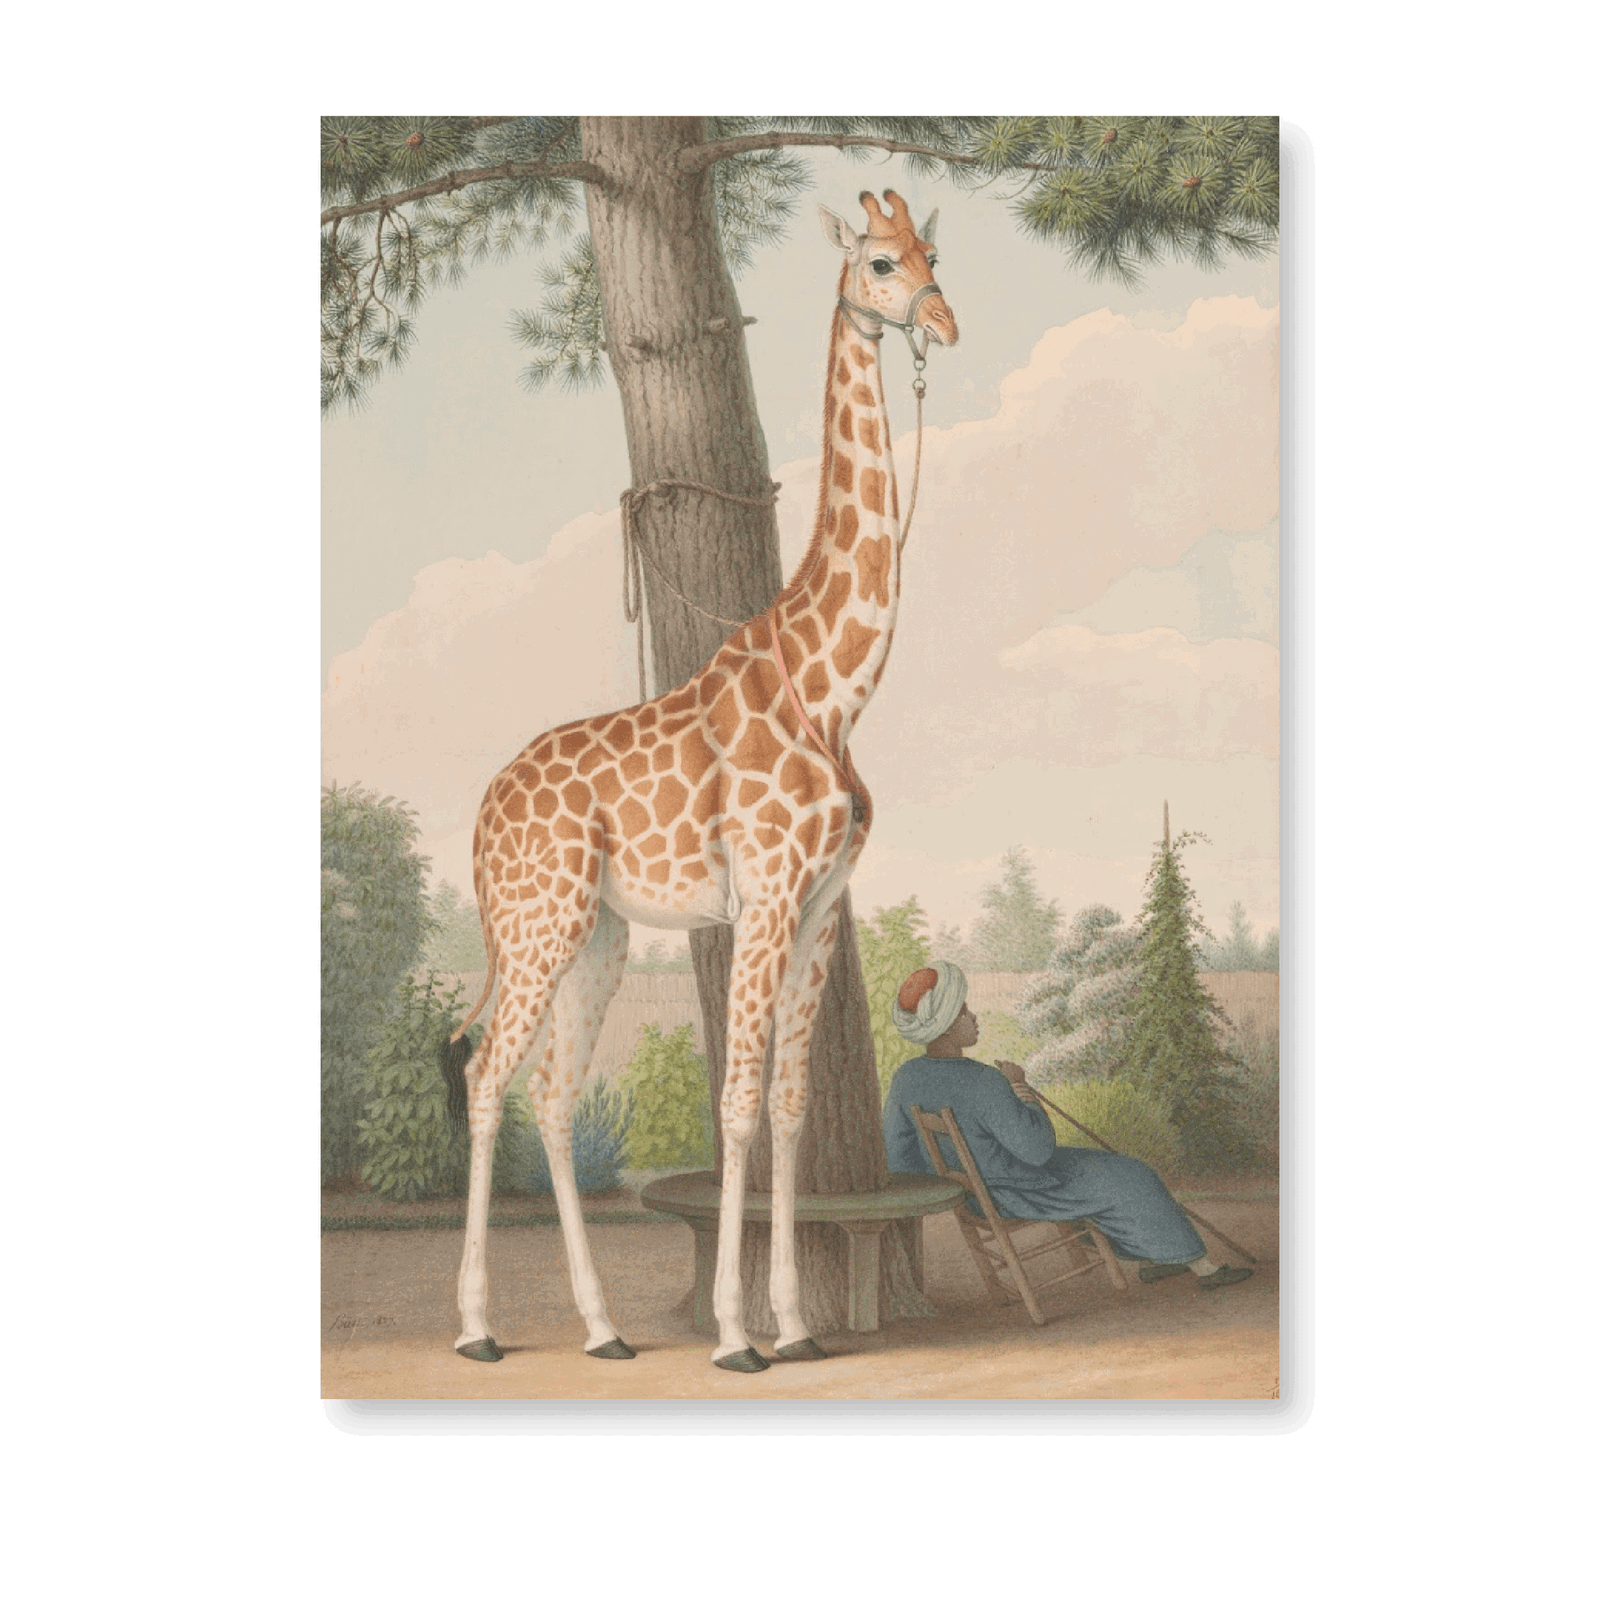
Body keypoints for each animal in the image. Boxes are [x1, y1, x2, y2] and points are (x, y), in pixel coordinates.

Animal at [442, 190, 957, 1371]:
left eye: (933, 253)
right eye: (879, 262)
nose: (943, 321)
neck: (832, 690)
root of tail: (482, 815)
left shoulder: (818, 905)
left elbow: (787, 1107)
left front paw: (798, 1327)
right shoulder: (763, 895)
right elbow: (733, 1106)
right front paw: (735, 1333)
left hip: (597, 931)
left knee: (551, 1092)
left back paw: (602, 1331)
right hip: (538, 924)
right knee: (490, 1080)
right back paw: (479, 1328)